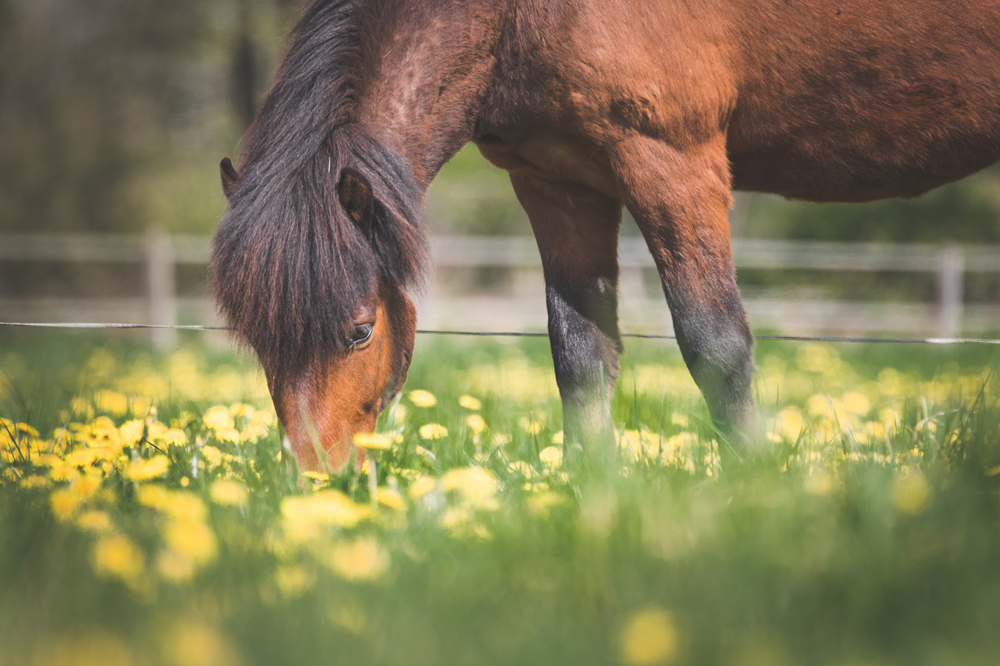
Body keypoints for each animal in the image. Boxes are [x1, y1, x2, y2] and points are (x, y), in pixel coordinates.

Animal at [215, 0, 1000, 466]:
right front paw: (591, 490)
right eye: (255, 340)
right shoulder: (558, 182)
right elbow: (581, 355)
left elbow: (716, 344)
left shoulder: (673, 160)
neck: (511, 17)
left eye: (359, 332)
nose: (314, 479)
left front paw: (753, 484)